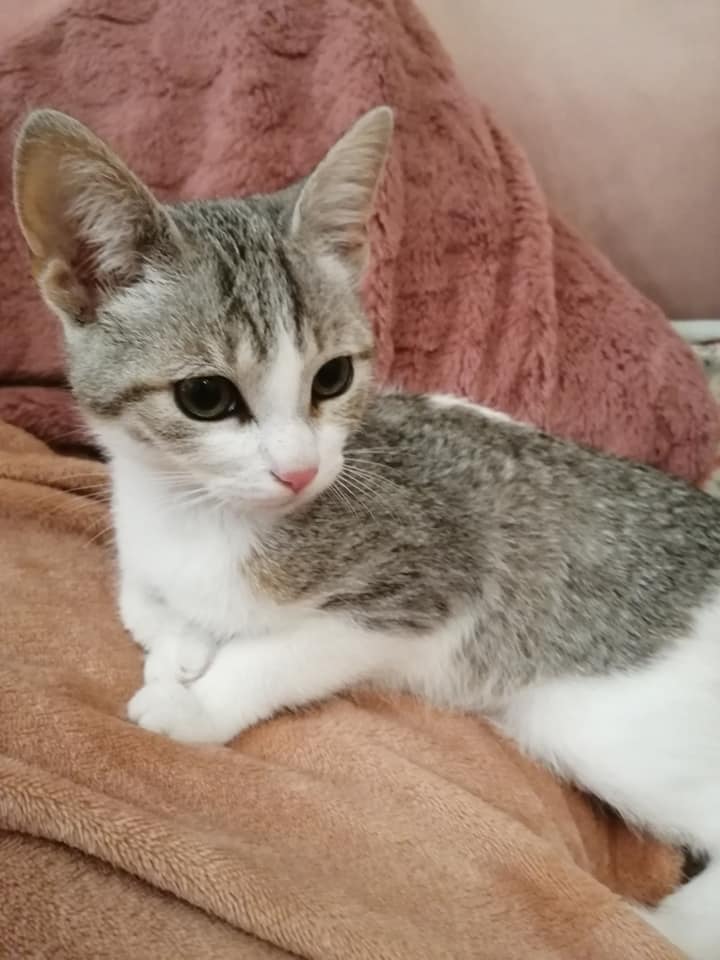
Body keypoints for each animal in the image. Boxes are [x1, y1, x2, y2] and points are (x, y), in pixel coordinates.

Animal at [13, 105, 720, 959]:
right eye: (207, 397)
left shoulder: (428, 584)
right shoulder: (139, 533)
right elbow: (142, 601)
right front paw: (179, 646)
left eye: (333, 378)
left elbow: (286, 650)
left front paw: (198, 703)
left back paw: (648, 926)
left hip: (604, 721)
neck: (203, 517)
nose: (298, 470)